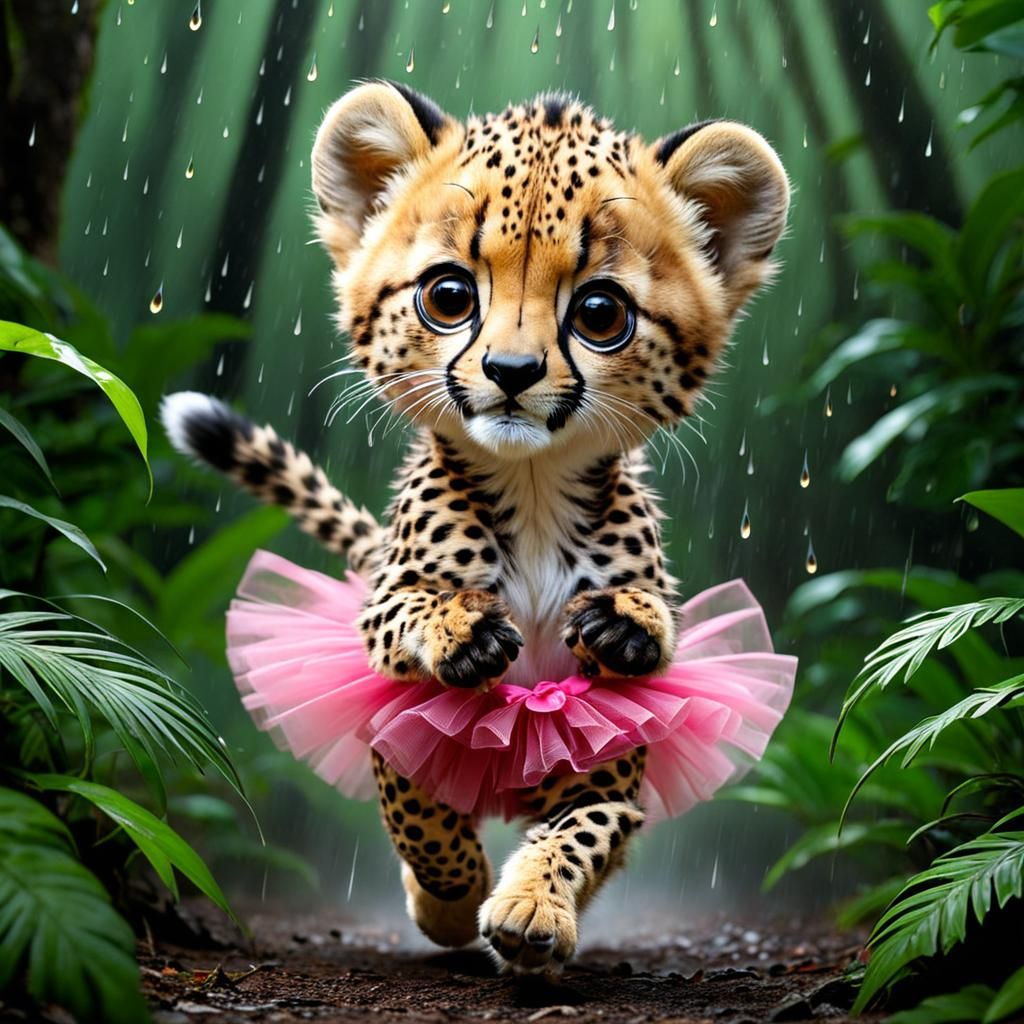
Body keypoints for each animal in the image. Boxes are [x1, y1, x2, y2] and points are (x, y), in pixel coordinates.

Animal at [162, 80, 789, 977]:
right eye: (450, 295)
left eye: (601, 313)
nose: (511, 373)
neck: (533, 492)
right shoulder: (392, 672)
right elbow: (421, 807)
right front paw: (452, 903)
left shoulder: (610, 734)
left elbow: (585, 826)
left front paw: (533, 907)